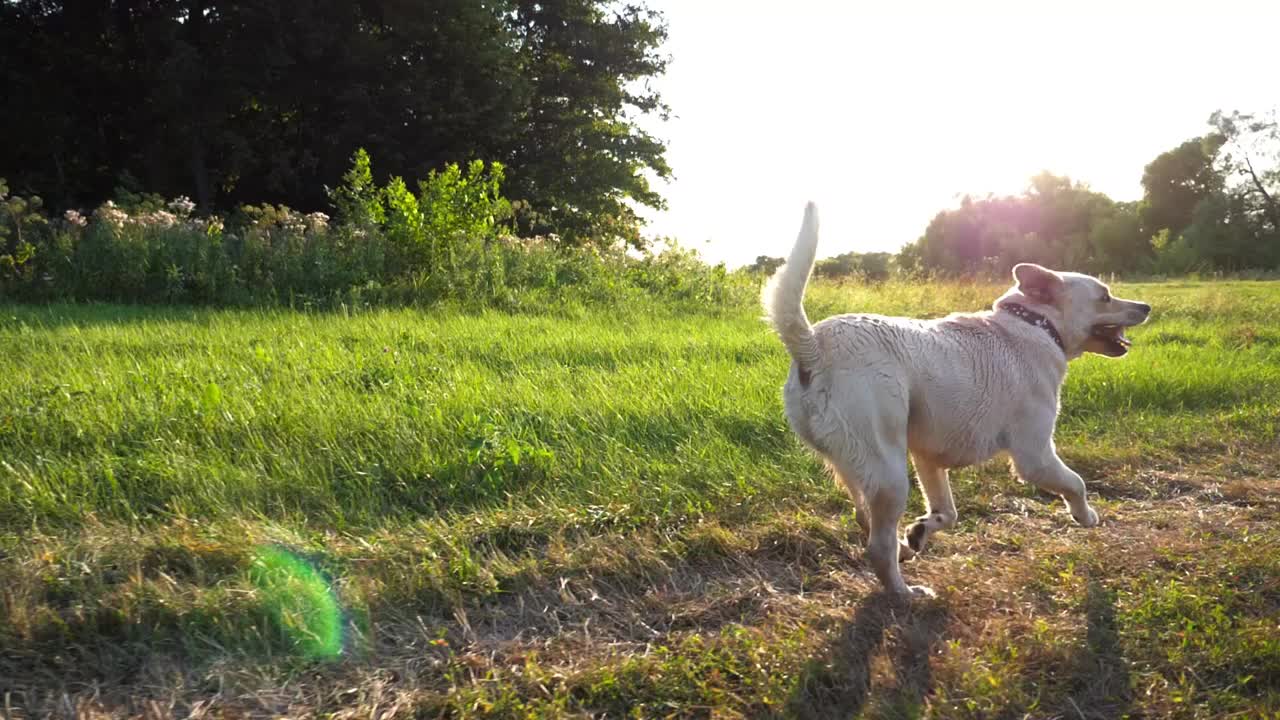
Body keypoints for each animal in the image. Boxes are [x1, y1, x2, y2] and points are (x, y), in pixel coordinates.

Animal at [757, 199, 1152, 594]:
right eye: (1104, 296)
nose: (1146, 306)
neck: (1034, 325)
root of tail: (813, 347)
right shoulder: (1035, 456)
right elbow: (1076, 483)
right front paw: (1086, 516)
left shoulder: (928, 459)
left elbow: (945, 513)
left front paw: (918, 532)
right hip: (889, 475)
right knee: (878, 548)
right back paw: (906, 593)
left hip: (859, 469)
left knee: (864, 518)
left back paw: (903, 550)